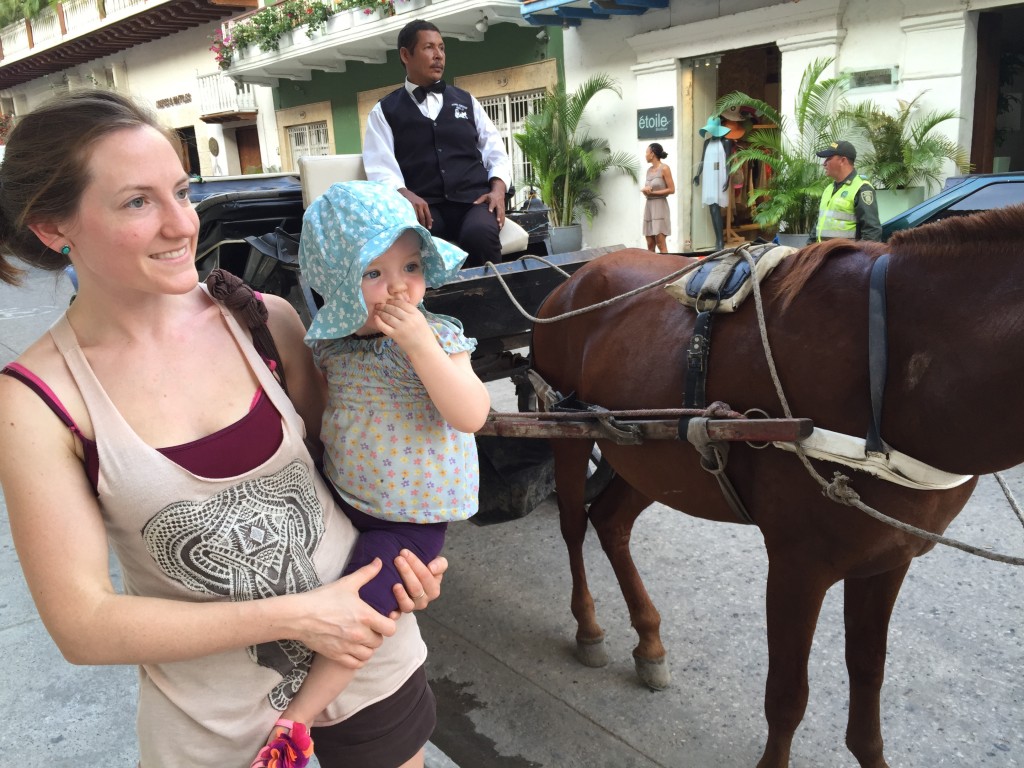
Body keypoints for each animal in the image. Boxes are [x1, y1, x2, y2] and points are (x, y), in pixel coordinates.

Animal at [528, 204, 1024, 768]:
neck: (892, 369)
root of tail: (571, 283)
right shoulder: (798, 564)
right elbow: (788, 695)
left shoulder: (888, 557)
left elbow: (869, 673)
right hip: (566, 431)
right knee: (573, 524)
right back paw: (588, 627)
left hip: (650, 458)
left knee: (610, 524)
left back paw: (649, 643)